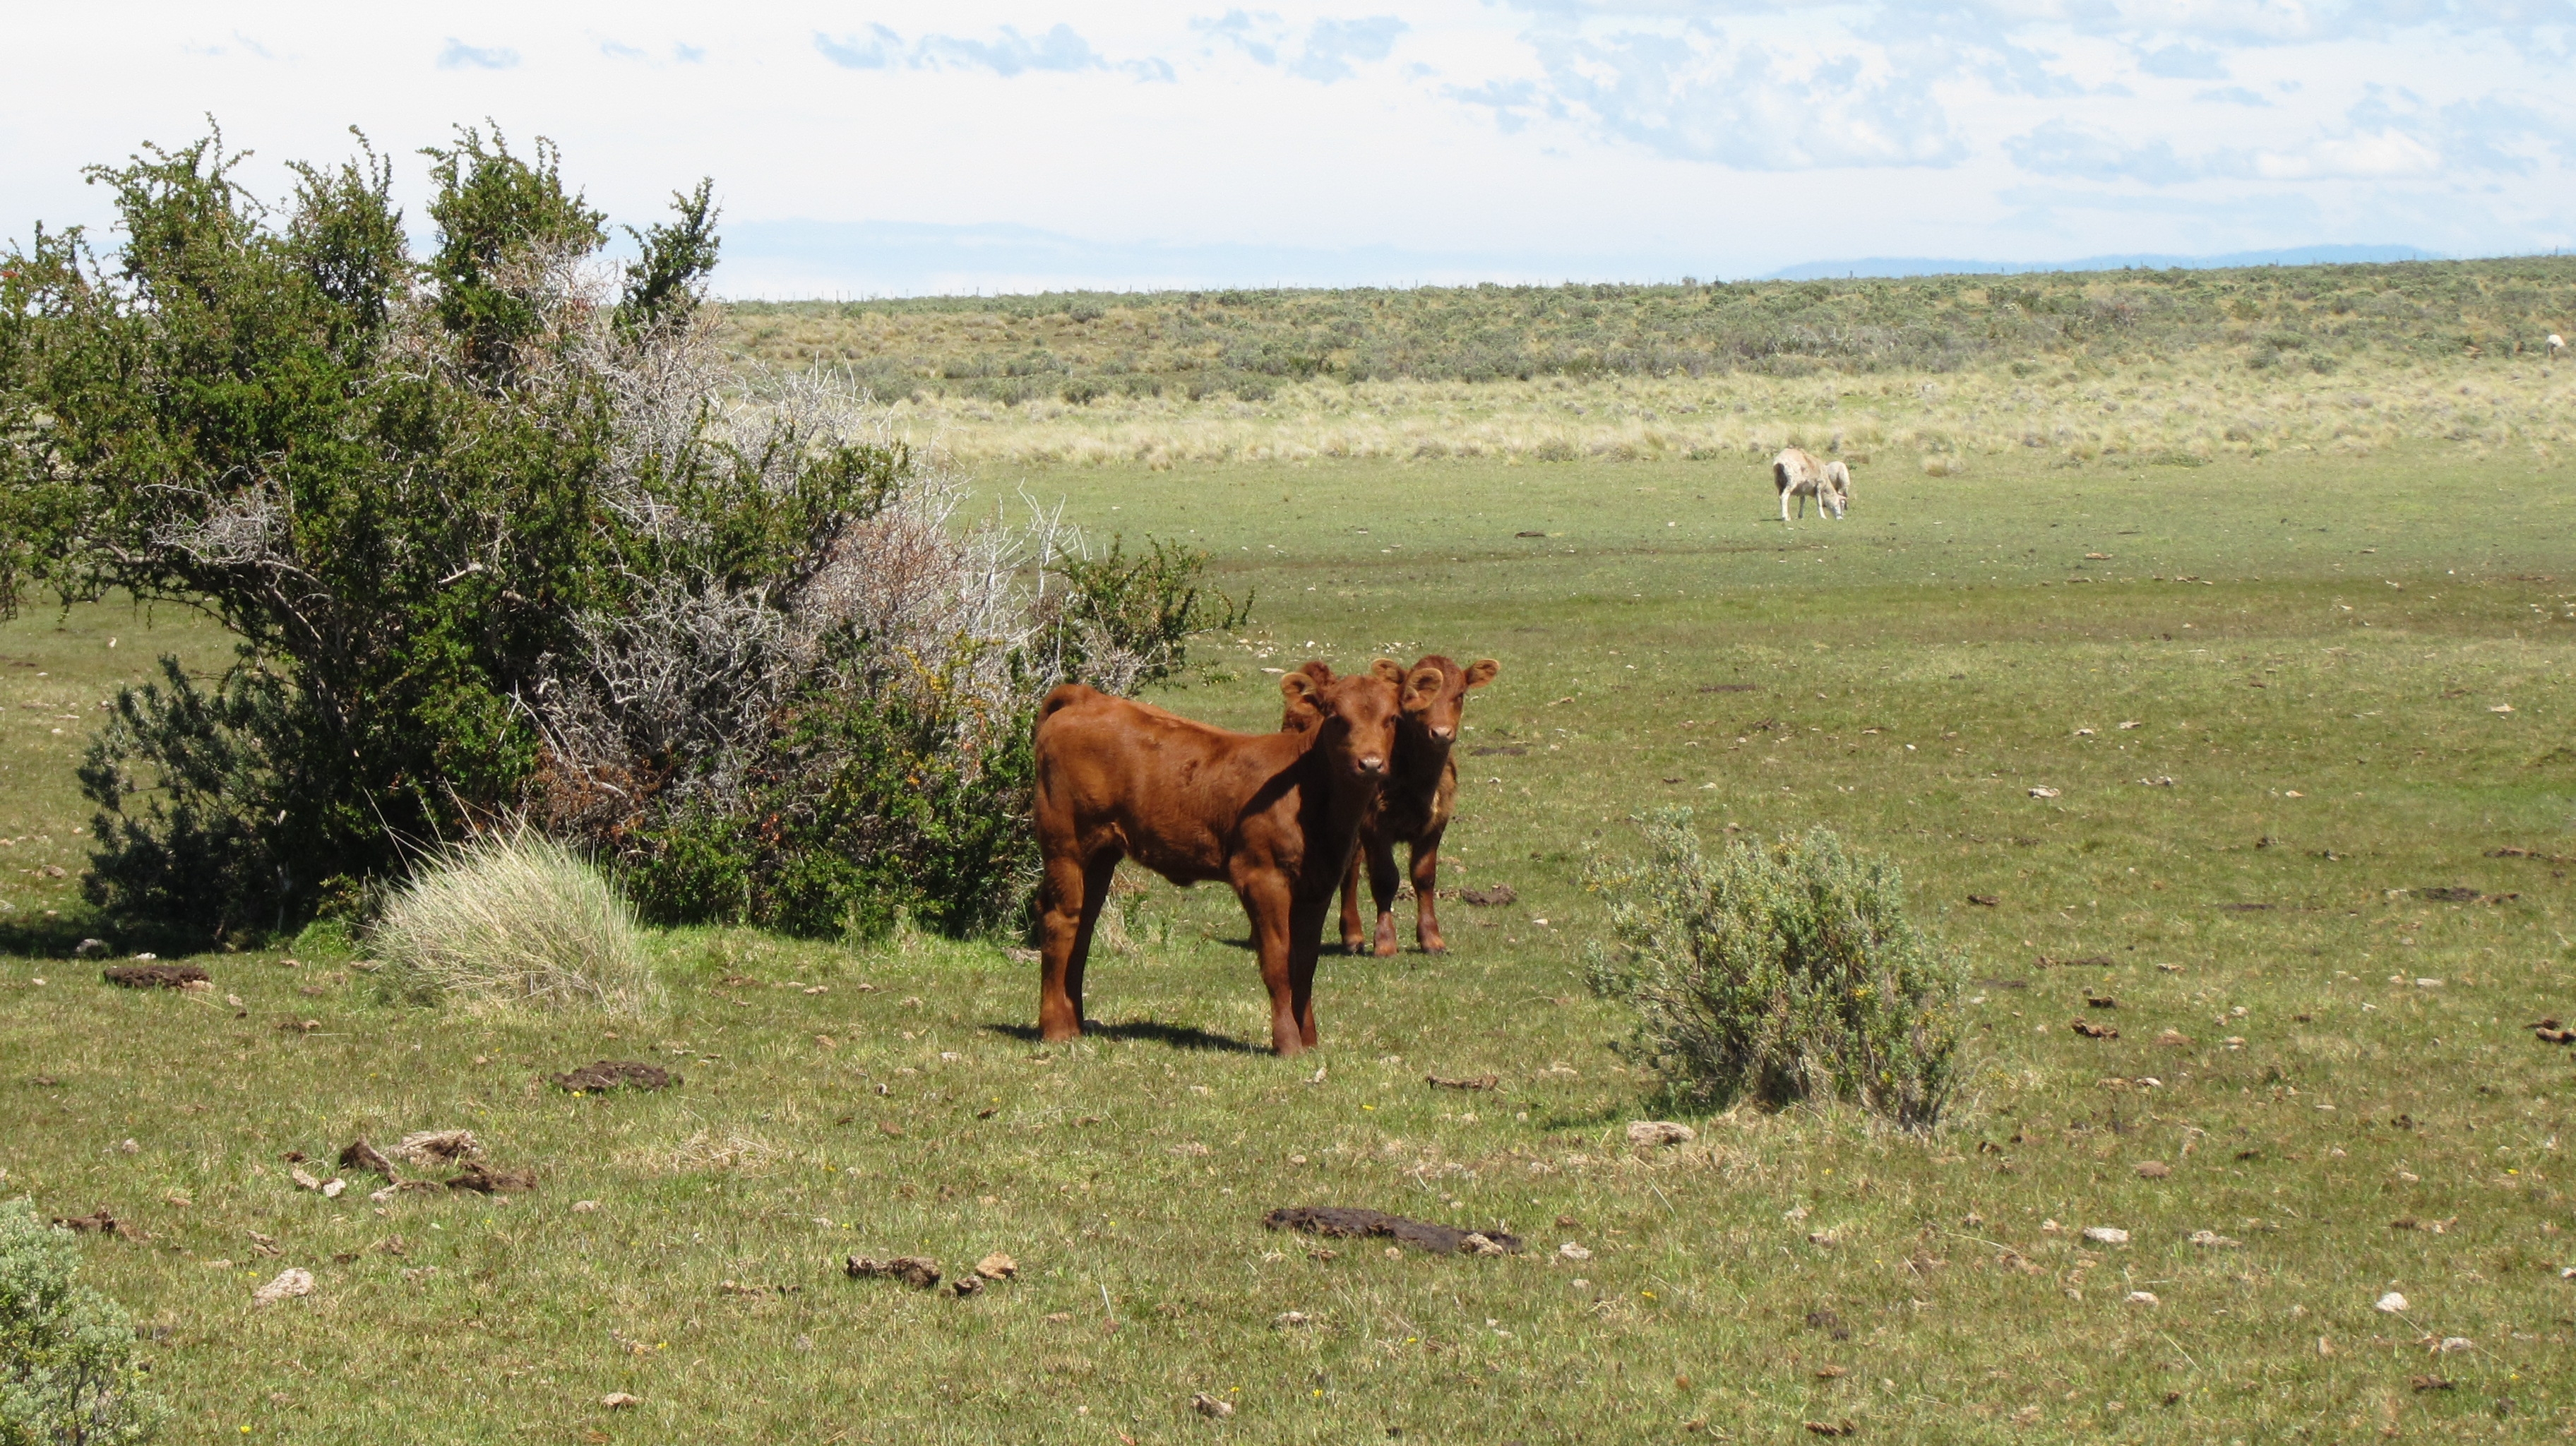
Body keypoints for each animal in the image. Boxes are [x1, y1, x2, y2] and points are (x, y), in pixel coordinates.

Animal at [1025, 664, 1401, 1046]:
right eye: (1336, 718)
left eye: (1392, 719)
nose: (1371, 764)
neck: (1307, 790)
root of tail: (1088, 698)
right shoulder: (1260, 876)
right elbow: (1278, 960)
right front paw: (1288, 1042)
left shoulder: (1319, 883)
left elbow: (1305, 963)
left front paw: (1309, 1039)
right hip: (1066, 845)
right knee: (1061, 918)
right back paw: (1056, 1029)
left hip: (1101, 854)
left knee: (1084, 923)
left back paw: (1076, 1024)